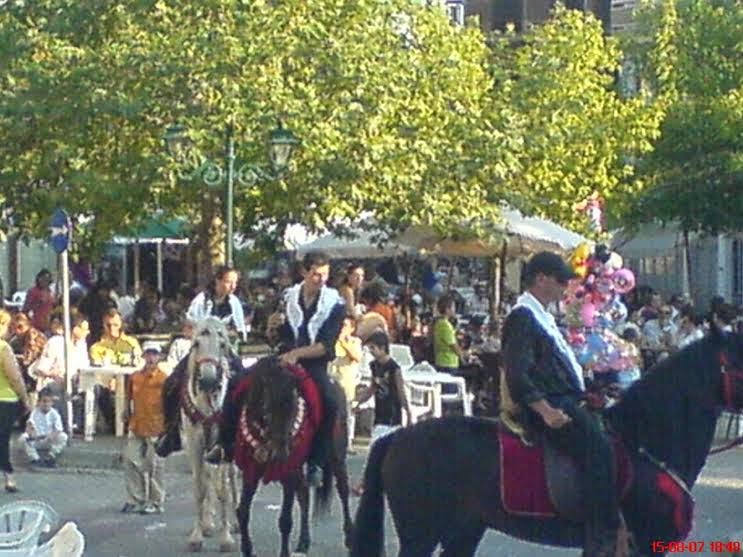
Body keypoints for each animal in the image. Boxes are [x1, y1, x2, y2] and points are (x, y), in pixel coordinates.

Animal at [222, 356, 354, 556]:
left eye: (294, 408)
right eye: (267, 408)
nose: (280, 453)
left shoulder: (288, 471)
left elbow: (285, 520)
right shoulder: (251, 471)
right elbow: (242, 511)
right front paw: (247, 549)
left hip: (336, 458)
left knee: (343, 491)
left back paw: (349, 537)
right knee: (304, 495)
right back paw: (303, 542)